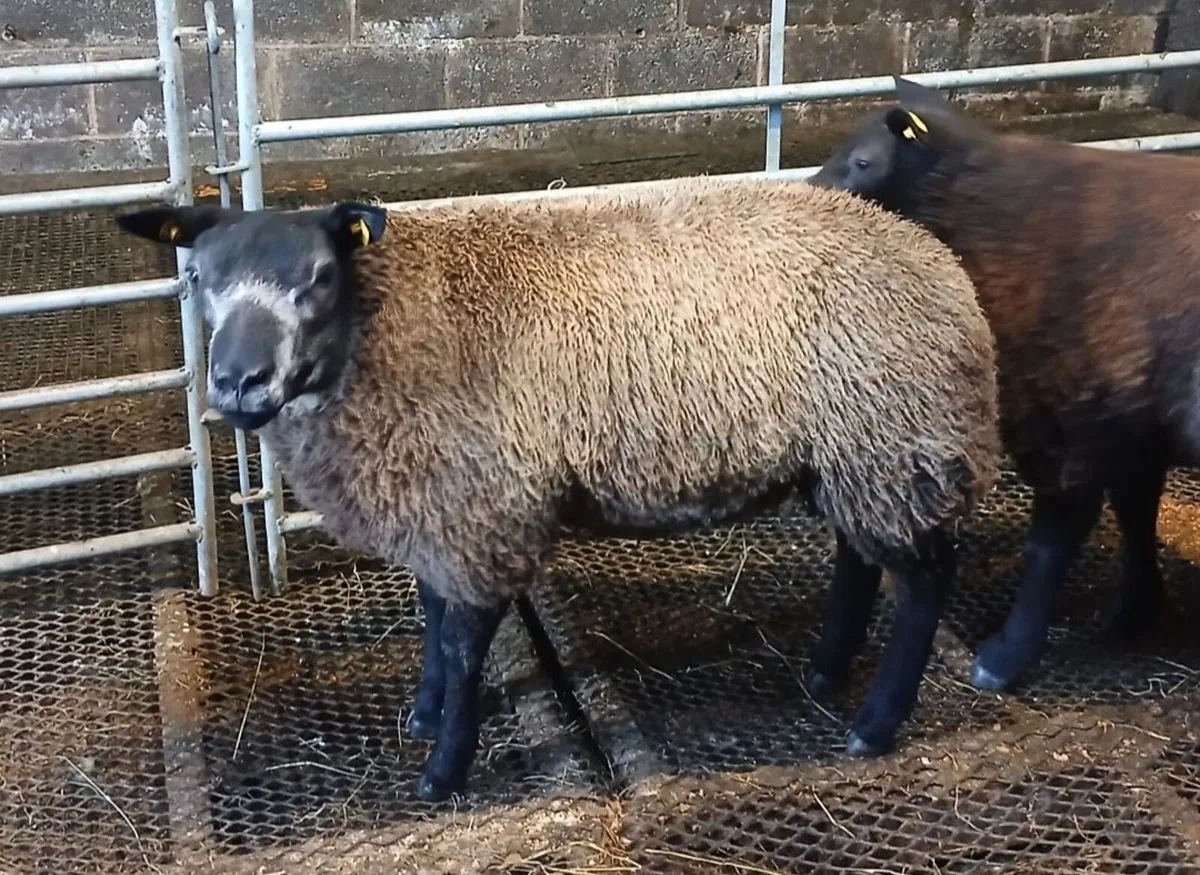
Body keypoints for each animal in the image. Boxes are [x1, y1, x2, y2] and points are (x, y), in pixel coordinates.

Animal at [114, 175, 1001, 802]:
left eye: (321, 276)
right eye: (197, 278)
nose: (239, 381)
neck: (387, 324)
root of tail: (940, 262)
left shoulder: (479, 507)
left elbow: (463, 640)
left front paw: (444, 765)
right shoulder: (439, 498)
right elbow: (431, 612)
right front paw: (424, 710)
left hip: (894, 439)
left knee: (926, 580)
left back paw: (875, 723)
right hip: (853, 456)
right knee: (860, 556)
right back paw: (823, 670)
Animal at [811, 74, 1200, 695]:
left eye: (863, 161)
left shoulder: (1077, 414)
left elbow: (1053, 541)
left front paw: (1004, 656)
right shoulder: (1134, 420)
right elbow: (1136, 509)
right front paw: (1134, 608)